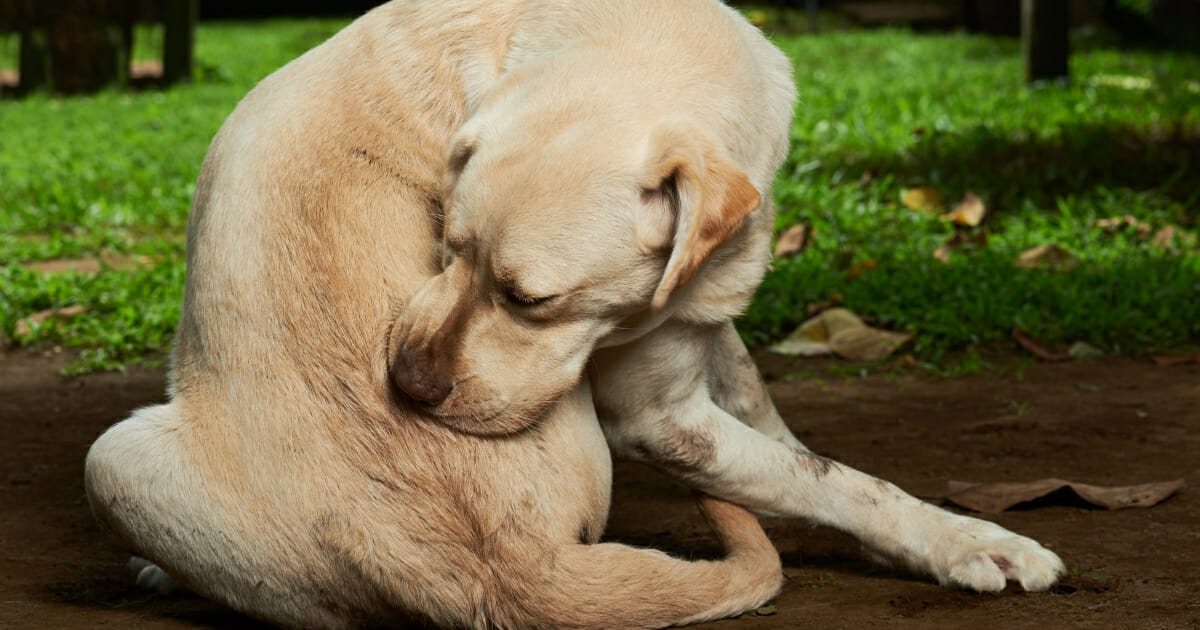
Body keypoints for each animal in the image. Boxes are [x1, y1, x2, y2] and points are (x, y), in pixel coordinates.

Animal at [82, 0, 1060, 624]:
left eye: (531, 300)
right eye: (446, 244)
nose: (404, 384)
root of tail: (510, 574)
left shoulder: (698, 333)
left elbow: (790, 441)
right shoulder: (661, 419)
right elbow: (836, 478)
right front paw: (966, 539)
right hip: (110, 459)